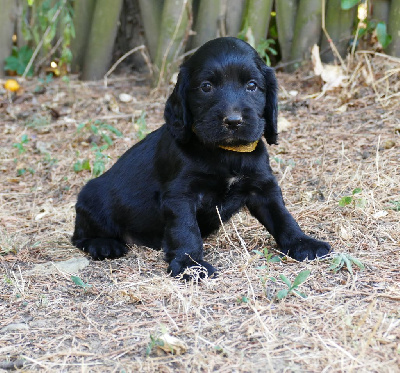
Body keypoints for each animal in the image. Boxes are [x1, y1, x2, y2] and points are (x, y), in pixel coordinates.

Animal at [72, 37, 332, 276]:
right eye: (206, 86)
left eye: (252, 85)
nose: (233, 121)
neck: (225, 153)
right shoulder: (180, 195)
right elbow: (186, 230)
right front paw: (190, 265)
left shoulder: (263, 187)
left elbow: (282, 217)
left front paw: (303, 243)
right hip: (92, 198)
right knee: (80, 235)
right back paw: (103, 244)